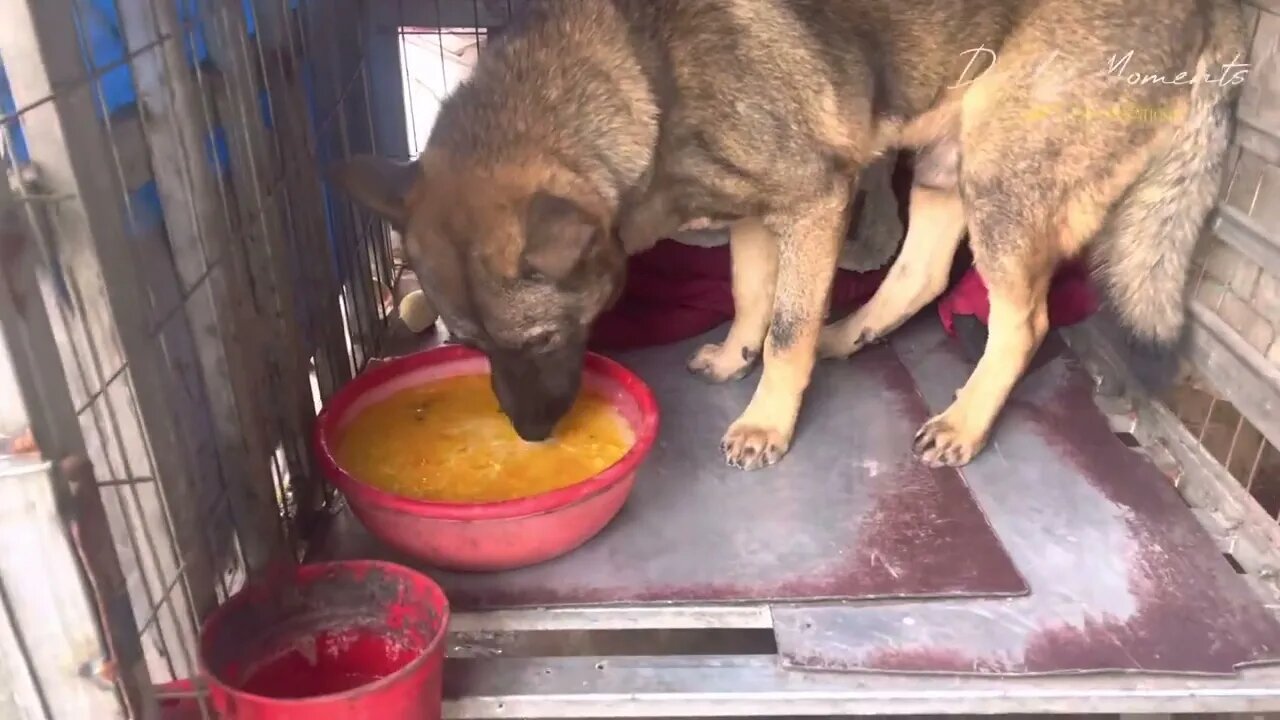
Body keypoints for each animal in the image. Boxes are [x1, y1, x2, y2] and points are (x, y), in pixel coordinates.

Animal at [330, 0, 1239, 466]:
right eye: (469, 343)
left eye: (547, 337)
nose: (528, 435)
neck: (642, 68)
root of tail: (1211, 11)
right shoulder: (756, 215)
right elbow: (752, 301)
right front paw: (739, 359)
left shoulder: (812, 201)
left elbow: (787, 327)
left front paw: (768, 421)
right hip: (950, 158)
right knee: (921, 273)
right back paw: (854, 334)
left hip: (1004, 178)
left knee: (1024, 321)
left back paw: (966, 422)